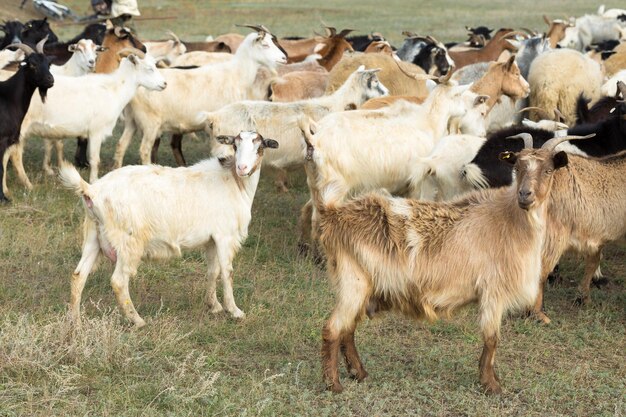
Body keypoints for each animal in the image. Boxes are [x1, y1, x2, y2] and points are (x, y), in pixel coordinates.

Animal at [5, 50, 166, 192]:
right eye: (149, 68)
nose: (164, 84)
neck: (113, 89)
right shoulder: (96, 131)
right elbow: (95, 159)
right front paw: (94, 181)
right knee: (14, 156)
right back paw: (25, 185)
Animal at [59, 130, 280, 324]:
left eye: (260, 147)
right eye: (235, 145)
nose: (242, 168)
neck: (234, 183)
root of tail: (92, 191)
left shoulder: (212, 239)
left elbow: (213, 271)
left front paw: (214, 305)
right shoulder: (225, 236)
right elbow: (227, 273)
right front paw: (234, 311)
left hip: (93, 235)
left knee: (78, 276)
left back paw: (75, 320)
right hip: (128, 241)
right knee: (119, 281)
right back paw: (137, 320)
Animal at [111, 26, 286, 168]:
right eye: (265, 44)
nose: (284, 58)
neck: (236, 74)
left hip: (132, 121)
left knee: (120, 145)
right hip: (150, 123)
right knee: (144, 150)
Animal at [300, 124, 584, 394]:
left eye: (548, 170)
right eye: (517, 166)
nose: (525, 195)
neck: (509, 219)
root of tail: (333, 214)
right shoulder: (493, 291)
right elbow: (492, 339)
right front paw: (491, 386)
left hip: (360, 285)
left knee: (348, 329)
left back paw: (359, 373)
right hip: (353, 282)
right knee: (333, 329)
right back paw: (334, 385)